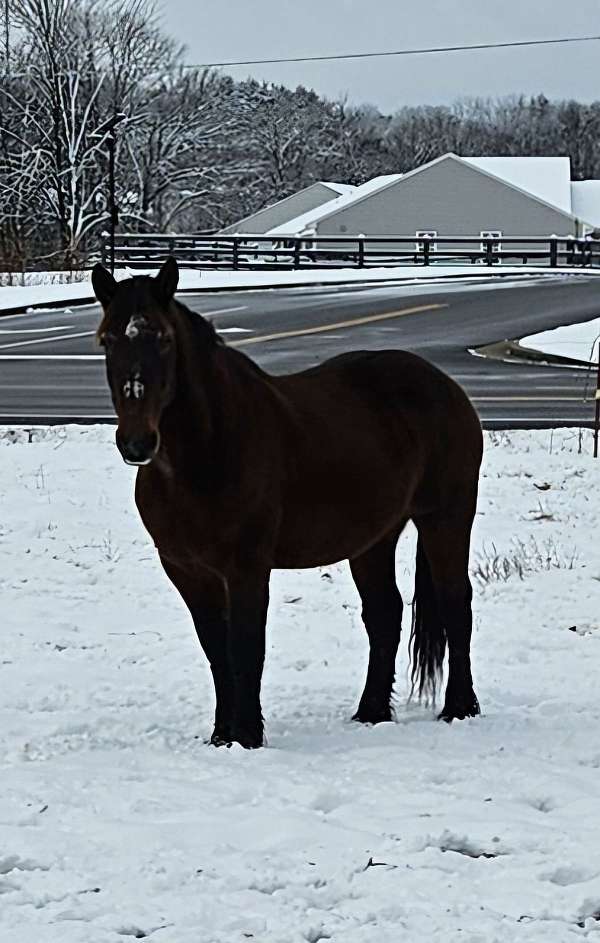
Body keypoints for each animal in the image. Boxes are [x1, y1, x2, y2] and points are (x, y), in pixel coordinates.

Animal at [92, 254, 482, 748]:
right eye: (107, 339)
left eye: (163, 338)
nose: (137, 442)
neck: (207, 452)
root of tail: (446, 386)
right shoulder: (186, 569)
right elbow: (216, 650)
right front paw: (222, 737)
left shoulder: (247, 566)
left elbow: (245, 648)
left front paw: (247, 736)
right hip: (374, 538)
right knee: (384, 614)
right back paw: (371, 712)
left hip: (446, 517)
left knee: (455, 604)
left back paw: (460, 708)